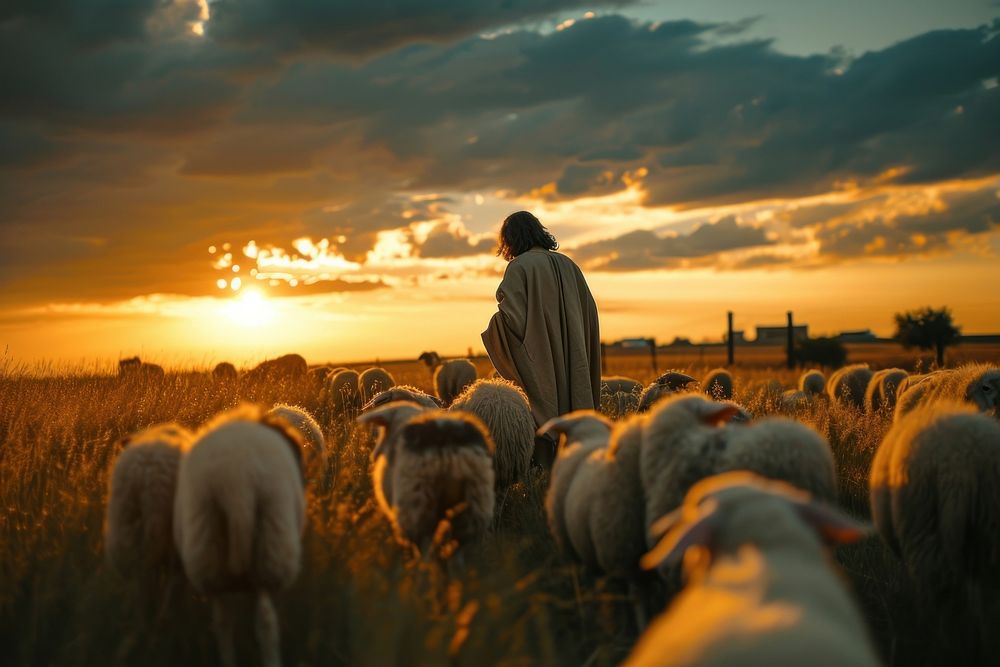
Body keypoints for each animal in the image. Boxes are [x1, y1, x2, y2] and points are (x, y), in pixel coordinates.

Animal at [364, 404, 496, 560]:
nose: (374, 455)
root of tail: (446, 442)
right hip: (475, 501)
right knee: (460, 548)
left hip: (418, 502)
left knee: (424, 546)